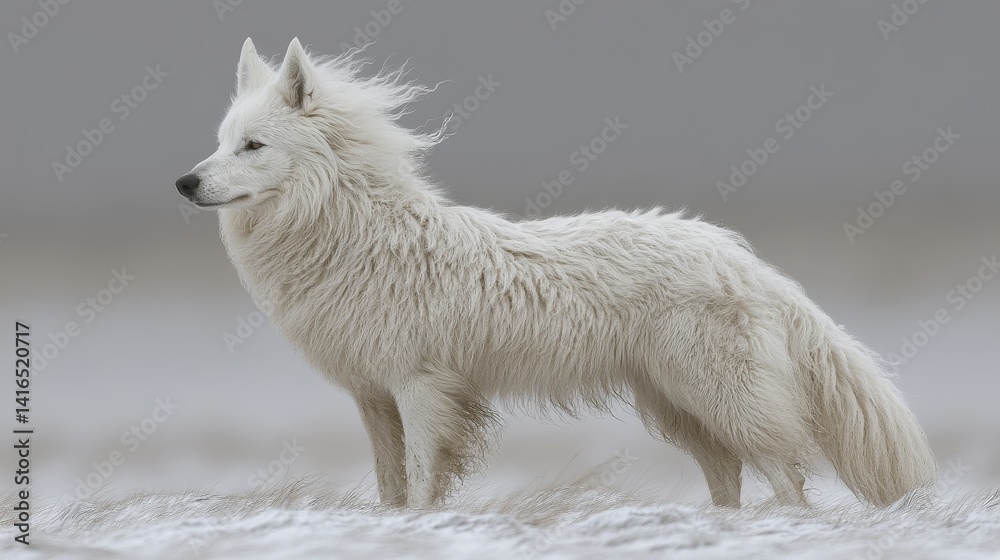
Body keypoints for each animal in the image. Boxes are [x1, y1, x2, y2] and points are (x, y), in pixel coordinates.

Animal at [175, 37, 937, 509]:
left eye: (253, 146)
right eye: (220, 142)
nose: (184, 182)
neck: (351, 234)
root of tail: (744, 260)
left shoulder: (421, 387)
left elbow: (420, 483)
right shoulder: (374, 397)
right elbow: (391, 488)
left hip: (718, 398)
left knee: (788, 477)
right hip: (678, 408)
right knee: (732, 479)